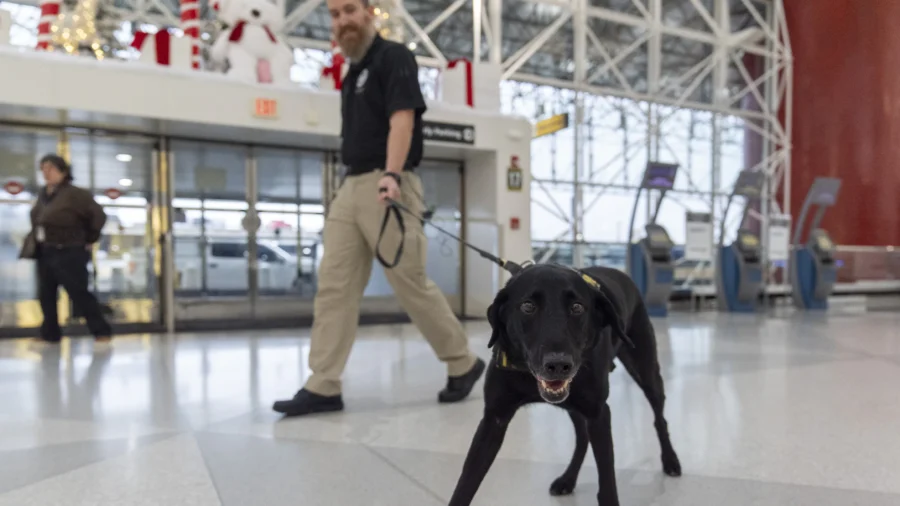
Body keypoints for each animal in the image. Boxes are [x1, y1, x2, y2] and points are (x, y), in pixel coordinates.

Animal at [446, 262, 680, 504]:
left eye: (577, 307)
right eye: (528, 306)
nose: (558, 364)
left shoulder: (598, 413)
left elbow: (607, 480)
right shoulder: (494, 418)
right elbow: (466, 482)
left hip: (646, 372)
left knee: (659, 418)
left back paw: (670, 460)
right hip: (573, 405)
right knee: (582, 438)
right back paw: (568, 479)